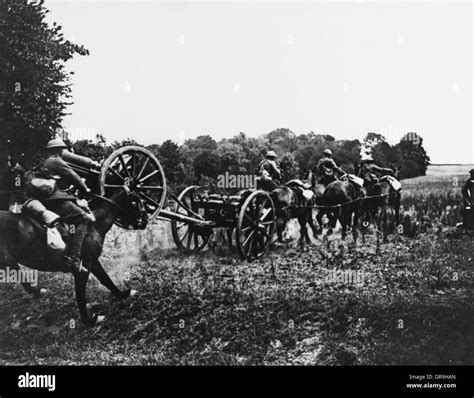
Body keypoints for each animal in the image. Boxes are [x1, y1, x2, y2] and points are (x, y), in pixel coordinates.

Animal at [0, 188, 147, 324]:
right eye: (134, 203)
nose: (144, 221)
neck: (94, 226)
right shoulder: (83, 268)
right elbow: (80, 294)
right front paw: (89, 320)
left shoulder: (93, 262)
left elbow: (106, 280)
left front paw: (123, 294)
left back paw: (36, 291)